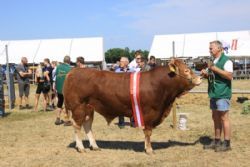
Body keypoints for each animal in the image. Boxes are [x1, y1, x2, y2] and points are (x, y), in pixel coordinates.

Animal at [63, 58, 202, 154]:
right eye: (186, 70)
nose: (200, 78)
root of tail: (73, 71)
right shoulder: (150, 113)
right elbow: (148, 132)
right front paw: (149, 150)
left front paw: (146, 148)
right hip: (78, 107)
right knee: (77, 126)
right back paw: (81, 148)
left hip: (89, 107)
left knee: (87, 125)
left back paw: (95, 146)